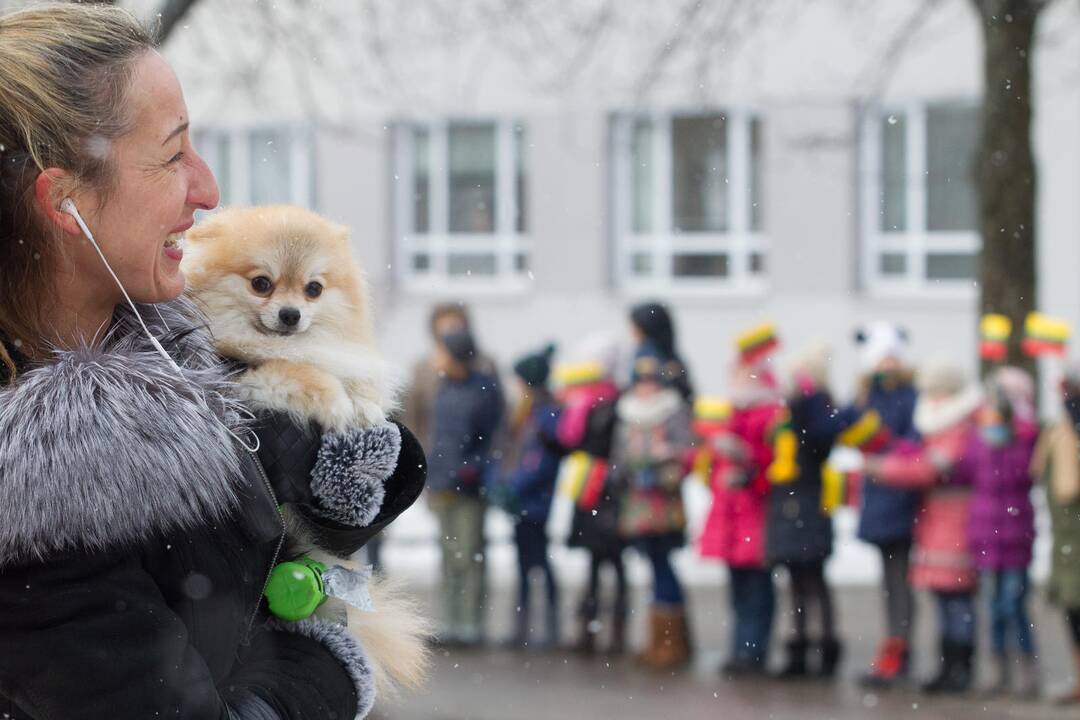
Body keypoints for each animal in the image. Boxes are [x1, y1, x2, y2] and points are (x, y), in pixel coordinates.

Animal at [181, 202, 401, 431]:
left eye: (314, 289)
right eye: (261, 283)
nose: (290, 314)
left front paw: (365, 403)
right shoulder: (237, 378)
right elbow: (292, 369)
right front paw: (336, 401)